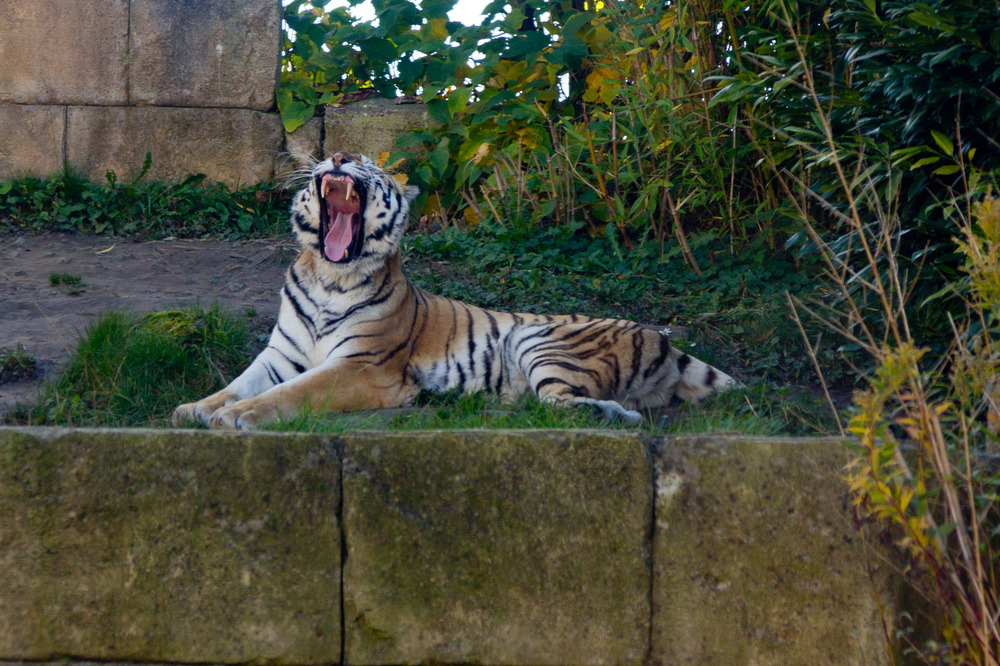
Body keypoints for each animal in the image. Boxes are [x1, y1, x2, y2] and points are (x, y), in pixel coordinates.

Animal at [170, 152, 736, 430]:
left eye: (369, 164)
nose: (337, 156)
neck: (331, 276)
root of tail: (662, 338)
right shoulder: (280, 356)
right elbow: (238, 384)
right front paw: (194, 409)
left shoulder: (363, 367)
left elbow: (293, 393)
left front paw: (237, 417)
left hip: (540, 342)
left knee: (573, 404)